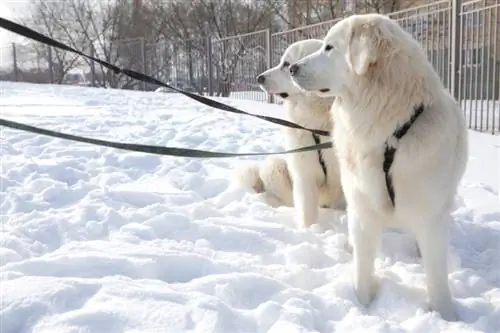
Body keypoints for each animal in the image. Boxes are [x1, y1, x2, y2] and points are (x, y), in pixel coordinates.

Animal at [233, 38, 344, 226]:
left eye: (286, 64)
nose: (259, 78)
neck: (317, 125)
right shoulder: (304, 175)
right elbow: (307, 212)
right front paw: (308, 230)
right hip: (274, 165)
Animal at [290, 13, 468, 320]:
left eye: (329, 47)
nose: (292, 67)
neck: (389, 134)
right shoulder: (362, 208)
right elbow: (362, 266)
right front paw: (362, 306)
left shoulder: (430, 216)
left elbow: (436, 277)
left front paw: (447, 317)